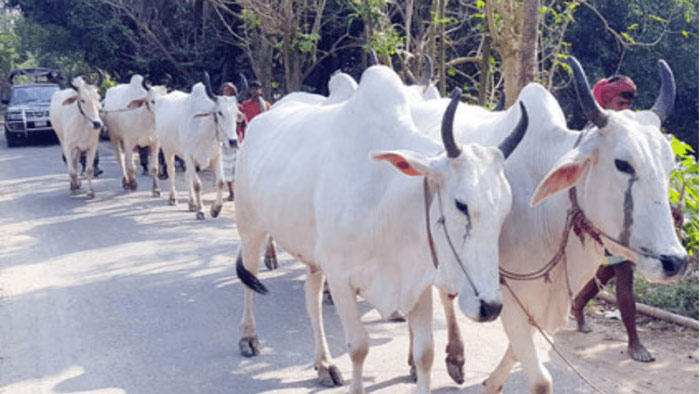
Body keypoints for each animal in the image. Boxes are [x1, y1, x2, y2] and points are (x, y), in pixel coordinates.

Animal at [49, 69, 104, 199]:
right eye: (82, 100)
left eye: (98, 98)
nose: (97, 123)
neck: (83, 124)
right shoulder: (69, 146)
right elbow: (72, 171)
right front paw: (74, 186)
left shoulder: (92, 146)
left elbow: (88, 170)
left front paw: (90, 192)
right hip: (61, 138)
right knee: (70, 163)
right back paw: (74, 184)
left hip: (78, 148)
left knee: (75, 161)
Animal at [152, 71, 241, 219]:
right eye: (220, 112)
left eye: (236, 113)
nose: (233, 141)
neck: (203, 131)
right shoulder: (189, 157)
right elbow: (197, 184)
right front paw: (201, 210)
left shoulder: (216, 156)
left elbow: (220, 181)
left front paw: (215, 209)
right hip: (167, 150)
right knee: (172, 172)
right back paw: (173, 198)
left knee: (186, 175)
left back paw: (191, 203)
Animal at [232, 66, 528, 392]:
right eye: (461, 204)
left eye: (505, 210)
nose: (491, 307)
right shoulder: (340, 278)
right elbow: (359, 347)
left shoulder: (416, 283)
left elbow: (425, 353)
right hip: (250, 227)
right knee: (249, 280)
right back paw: (248, 337)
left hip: (311, 256)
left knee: (312, 299)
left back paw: (324, 363)